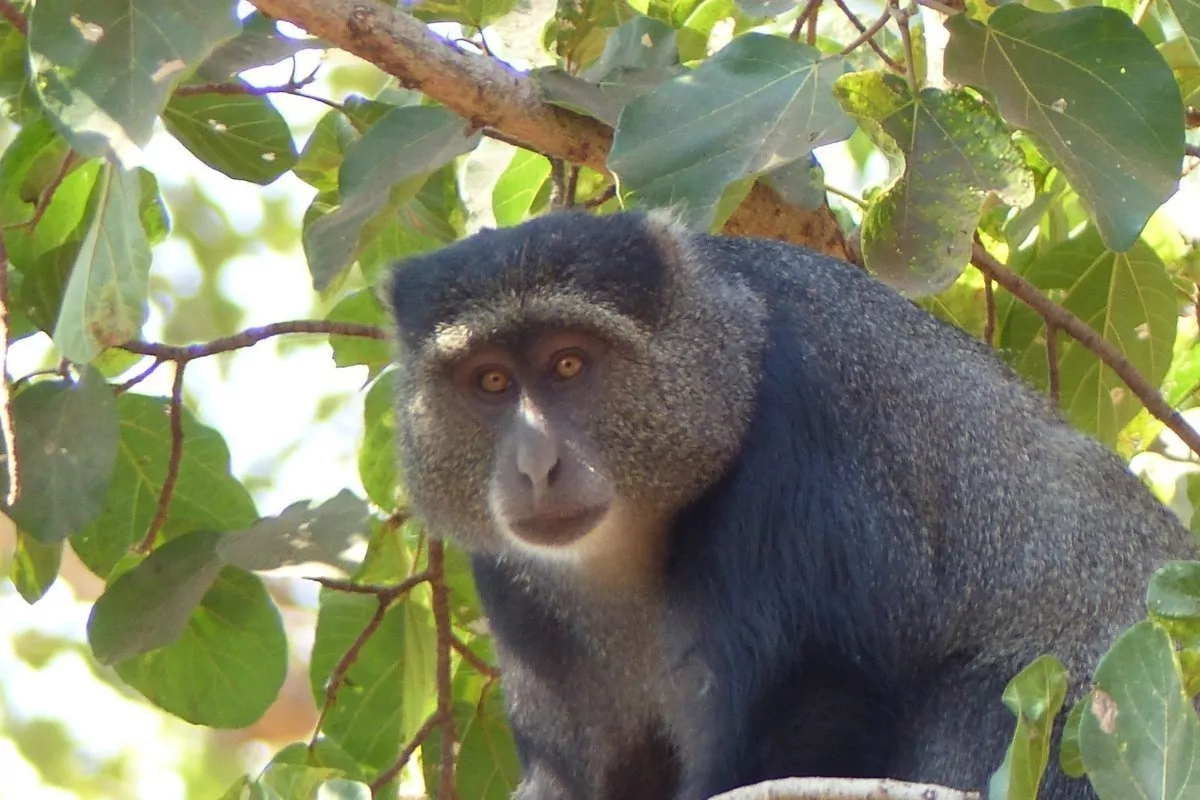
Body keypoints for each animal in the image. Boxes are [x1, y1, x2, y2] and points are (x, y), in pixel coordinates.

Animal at [384, 209, 1197, 800]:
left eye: (568, 364)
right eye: (491, 381)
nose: (535, 463)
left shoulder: (801, 439)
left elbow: (815, 709)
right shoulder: (510, 579)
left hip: (1069, 701)